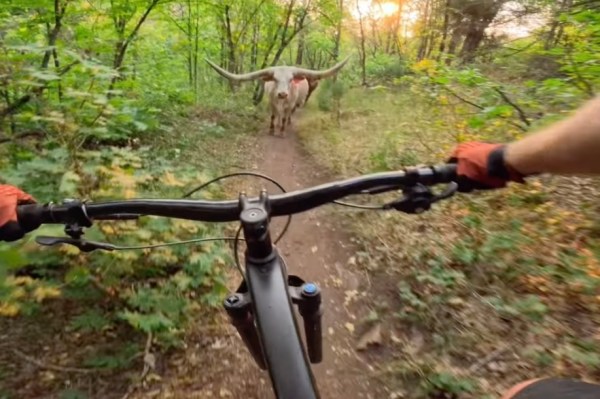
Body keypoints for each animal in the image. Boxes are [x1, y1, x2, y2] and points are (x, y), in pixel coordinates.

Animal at [205, 57, 350, 137]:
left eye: (291, 79)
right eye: (274, 79)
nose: (282, 94)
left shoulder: (290, 105)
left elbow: (285, 117)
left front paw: (282, 131)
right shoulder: (272, 103)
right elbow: (273, 116)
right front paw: (272, 130)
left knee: (287, 115)